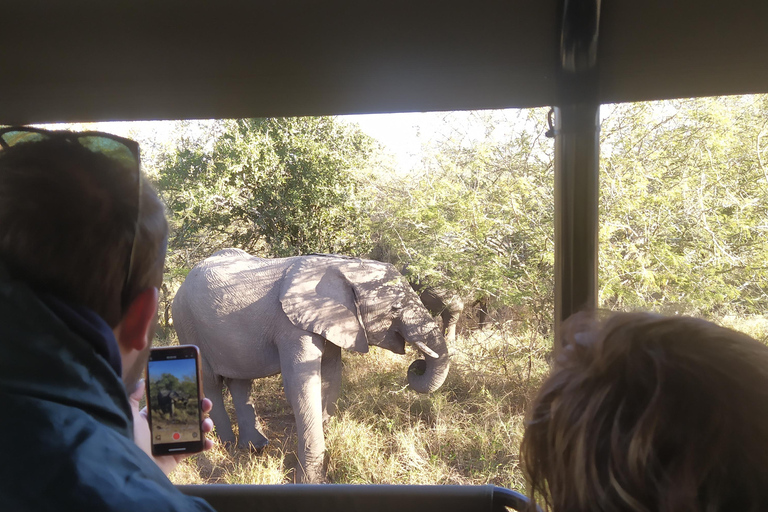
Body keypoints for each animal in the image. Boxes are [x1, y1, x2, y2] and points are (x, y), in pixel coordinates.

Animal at [172, 250, 450, 482]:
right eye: (394, 308)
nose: (416, 366)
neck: (341, 267)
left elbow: (331, 377)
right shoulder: (292, 326)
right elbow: (301, 385)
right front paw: (310, 480)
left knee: (240, 381)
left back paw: (255, 447)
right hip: (185, 322)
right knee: (210, 382)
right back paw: (227, 446)